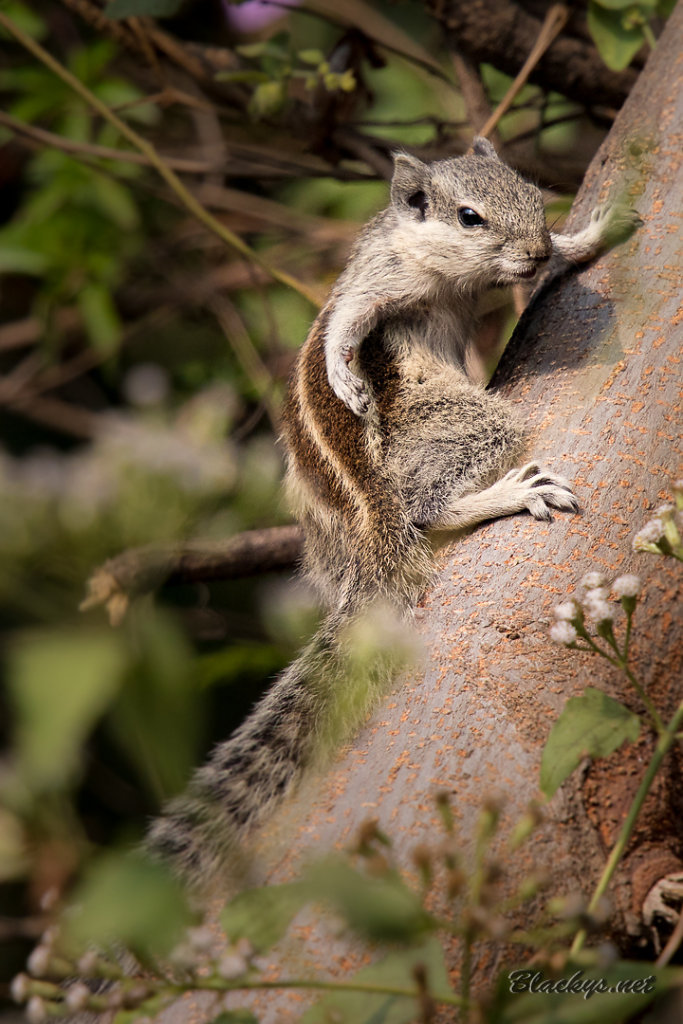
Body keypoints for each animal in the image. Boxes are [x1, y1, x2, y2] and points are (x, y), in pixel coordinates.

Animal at [145, 138, 643, 888]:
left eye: (532, 193)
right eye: (469, 217)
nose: (528, 251)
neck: (453, 279)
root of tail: (367, 520)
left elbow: (564, 253)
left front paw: (591, 234)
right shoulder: (383, 278)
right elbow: (348, 322)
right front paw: (342, 373)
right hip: (463, 425)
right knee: (425, 508)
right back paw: (501, 495)